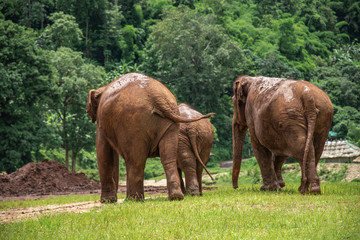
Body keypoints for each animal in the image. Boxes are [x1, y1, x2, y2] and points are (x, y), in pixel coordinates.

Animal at [87, 72, 214, 202]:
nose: (116, 199)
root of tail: (156, 98)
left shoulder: (101, 121)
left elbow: (103, 151)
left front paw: (107, 201)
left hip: (133, 122)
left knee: (135, 160)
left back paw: (134, 200)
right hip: (173, 126)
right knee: (170, 158)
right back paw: (178, 196)